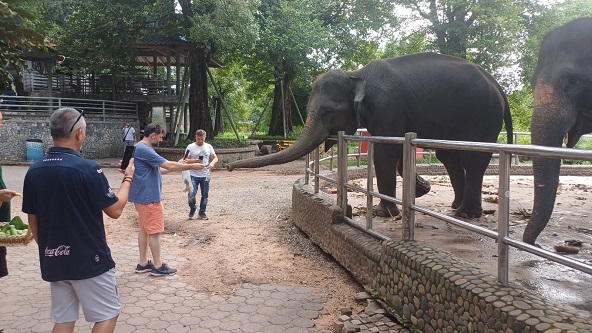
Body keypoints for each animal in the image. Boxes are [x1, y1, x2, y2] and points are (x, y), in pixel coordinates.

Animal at [228, 52, 512, 218]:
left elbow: (387, 151)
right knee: (449, 155)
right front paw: (416, 193)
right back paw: (456, 207)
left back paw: (465, 215)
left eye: (329, 112)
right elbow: (394, 153)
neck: (356, 74)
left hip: (483, 115)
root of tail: (498, 85)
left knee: (473, 158)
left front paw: (382, 212)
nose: (229, 167)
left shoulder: (388, 106)